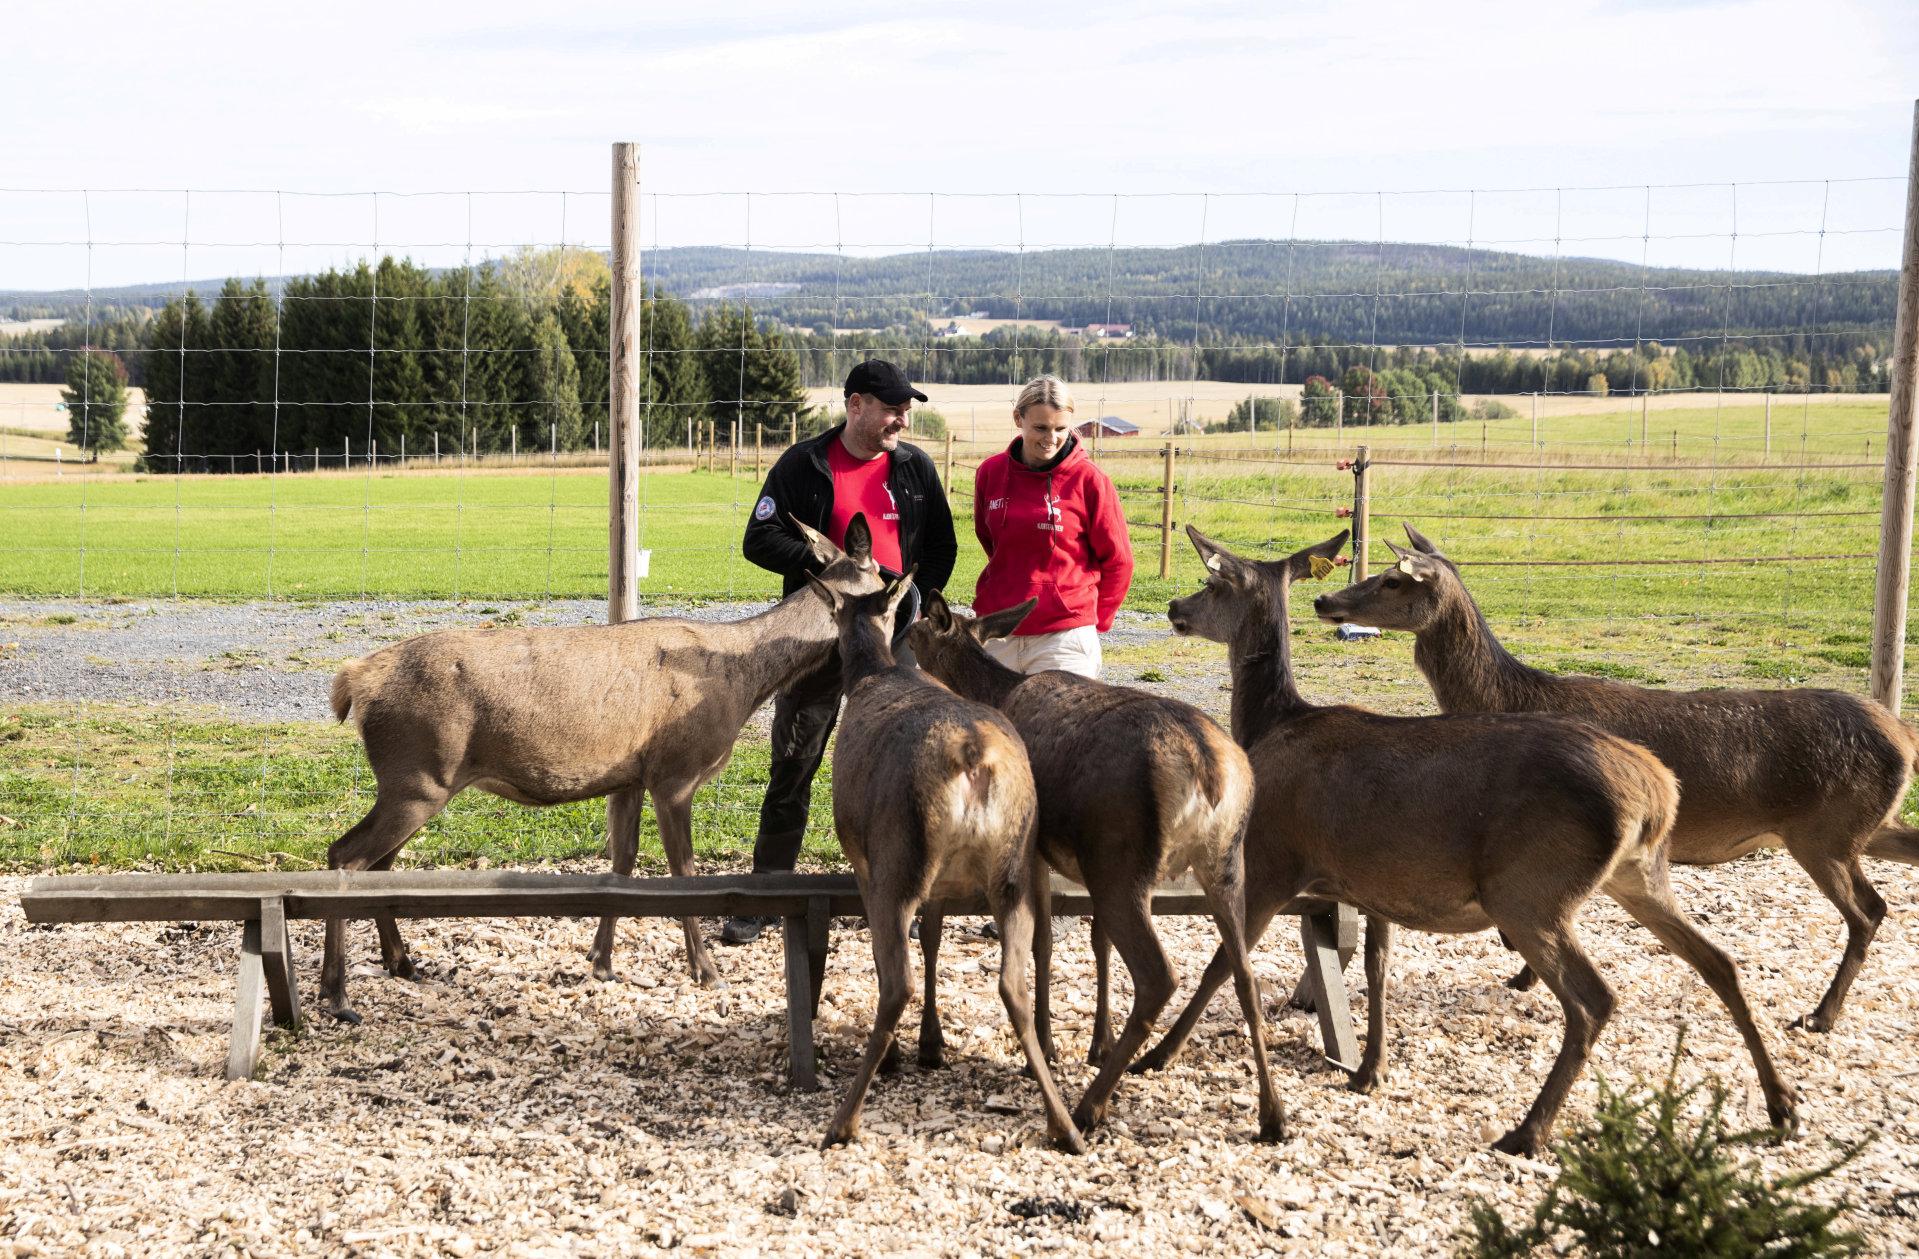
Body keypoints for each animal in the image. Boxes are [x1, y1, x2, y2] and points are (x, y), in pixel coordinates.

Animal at [318, 510, 886, 1021]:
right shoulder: (674, 773)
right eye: (885, 573)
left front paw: (601, 961)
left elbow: (622, 864)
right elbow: (683, 872)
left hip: (413, 783)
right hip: (418, 776)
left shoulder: (629, 775)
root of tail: (354, 681)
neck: (744, 683)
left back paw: (401, 962)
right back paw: (338, 995)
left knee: (381, 864)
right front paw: (705, 970)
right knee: (345, 855)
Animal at [805, 568, 1089, 1151]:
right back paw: (1064, 1123)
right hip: (1010, 866)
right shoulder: (940, 884)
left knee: (897, 983)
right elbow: (934, 939)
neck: (870, 676)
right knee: (1014, 978)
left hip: (900, 855)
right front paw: (932, 1044)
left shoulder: (862, 857)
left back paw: (844, 1120)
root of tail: (972, 758)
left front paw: (910, 1051)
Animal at [901, 591, 1289, 1143]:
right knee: (1245, 977)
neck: (1000, 692)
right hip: (1222, 864)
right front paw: (1096, 1042)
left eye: (915, 631)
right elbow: (1096, 941)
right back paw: (1272, 1114)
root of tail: (1209, 768)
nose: (904, 644)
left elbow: (1043, 941)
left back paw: (1089, 1108)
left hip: (1123, 857)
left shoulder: (1034, 845)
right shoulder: (1086, 862)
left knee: (1159, 976)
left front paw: (1047, 1045)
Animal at [1128, 525, 1788, 1159]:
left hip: (1530, 889)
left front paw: (1157, 1056)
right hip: (1641, 873)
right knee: (1719, 960)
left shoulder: (1274, 858)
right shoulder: (1372, 879)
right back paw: (1781, 1105)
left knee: (1595, 999)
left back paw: (1528, 1132)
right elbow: (1377, 966)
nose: (1174, 607)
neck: (1271, 727)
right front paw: (1370, 1069)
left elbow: (1222, 963)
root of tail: (1657, 792)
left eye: (1212, 582)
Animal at [1312, 522, 1919, 1036]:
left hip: (1824, 833)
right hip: (1866, 825)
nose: (1323, 600)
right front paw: (1521, 972)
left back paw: (1821, 1014)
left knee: (1868, 910)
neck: (1509, 696)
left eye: (1391, 578)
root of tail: (1903, 736)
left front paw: (1522, 973)